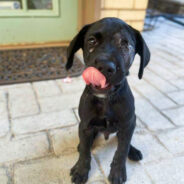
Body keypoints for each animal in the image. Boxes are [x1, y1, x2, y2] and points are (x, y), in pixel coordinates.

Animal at [65, 17, 150, 184]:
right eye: (91, 41)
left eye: (125, 44)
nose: (105, 67)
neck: (106, 100)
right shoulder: (85, 125)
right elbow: (85, 152)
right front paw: (81, 170)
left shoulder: (128, 123)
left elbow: (121, 150)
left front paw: (117, 172)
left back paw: (133, 151)